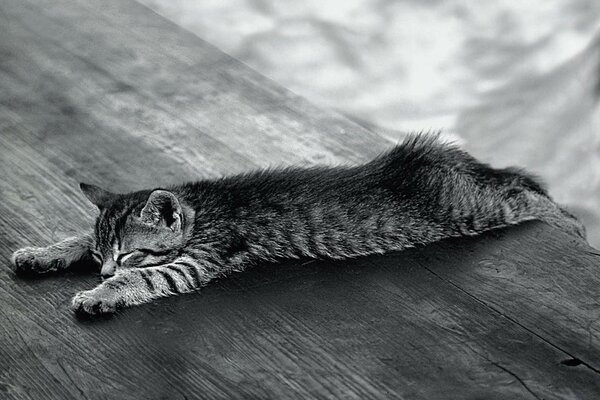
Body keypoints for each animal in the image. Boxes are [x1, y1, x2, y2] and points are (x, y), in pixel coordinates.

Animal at [10, 135, 586, 316]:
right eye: (104, 254)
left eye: (129, 254)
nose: (105, 271)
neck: (200, 207)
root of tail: (439, 156)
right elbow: (78, 234)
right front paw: (44, 252)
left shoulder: (202, 257)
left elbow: (152, 277)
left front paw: (99, 294)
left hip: (474, 210)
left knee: (529, 196)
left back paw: (575, 226)